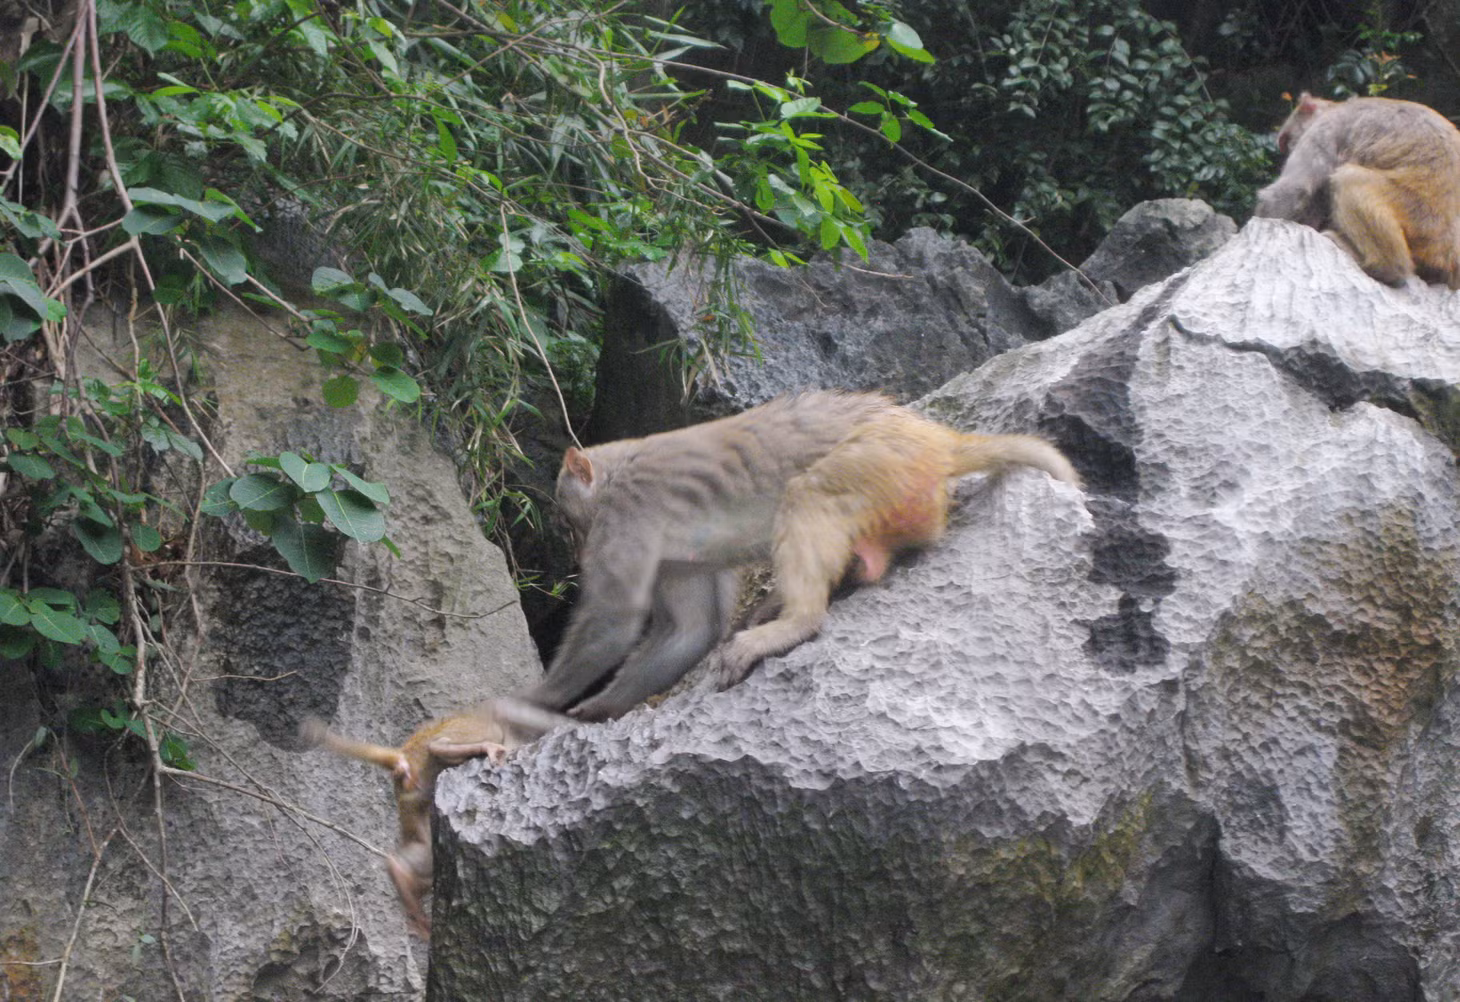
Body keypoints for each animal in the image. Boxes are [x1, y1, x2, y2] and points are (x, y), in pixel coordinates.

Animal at [528, 391, 1081, 721]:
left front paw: (534, 704)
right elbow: (689, 632)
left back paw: (794, 622)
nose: (576, 553)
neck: (617, 471)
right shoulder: (670, 558)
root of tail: (941, 442)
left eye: (567, 523)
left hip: (879, 462)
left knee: (809, 495)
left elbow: (614, 622)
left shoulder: (629, 514)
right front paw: (595, 709)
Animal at [1253, 92, 1460, 289]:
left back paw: (1387, 268)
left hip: (1420, 218)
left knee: (1348, 180)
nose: (1286, 152)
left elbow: (1296, 190)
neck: (1335, 107)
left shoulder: (1323, 130)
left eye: (1285, 140)